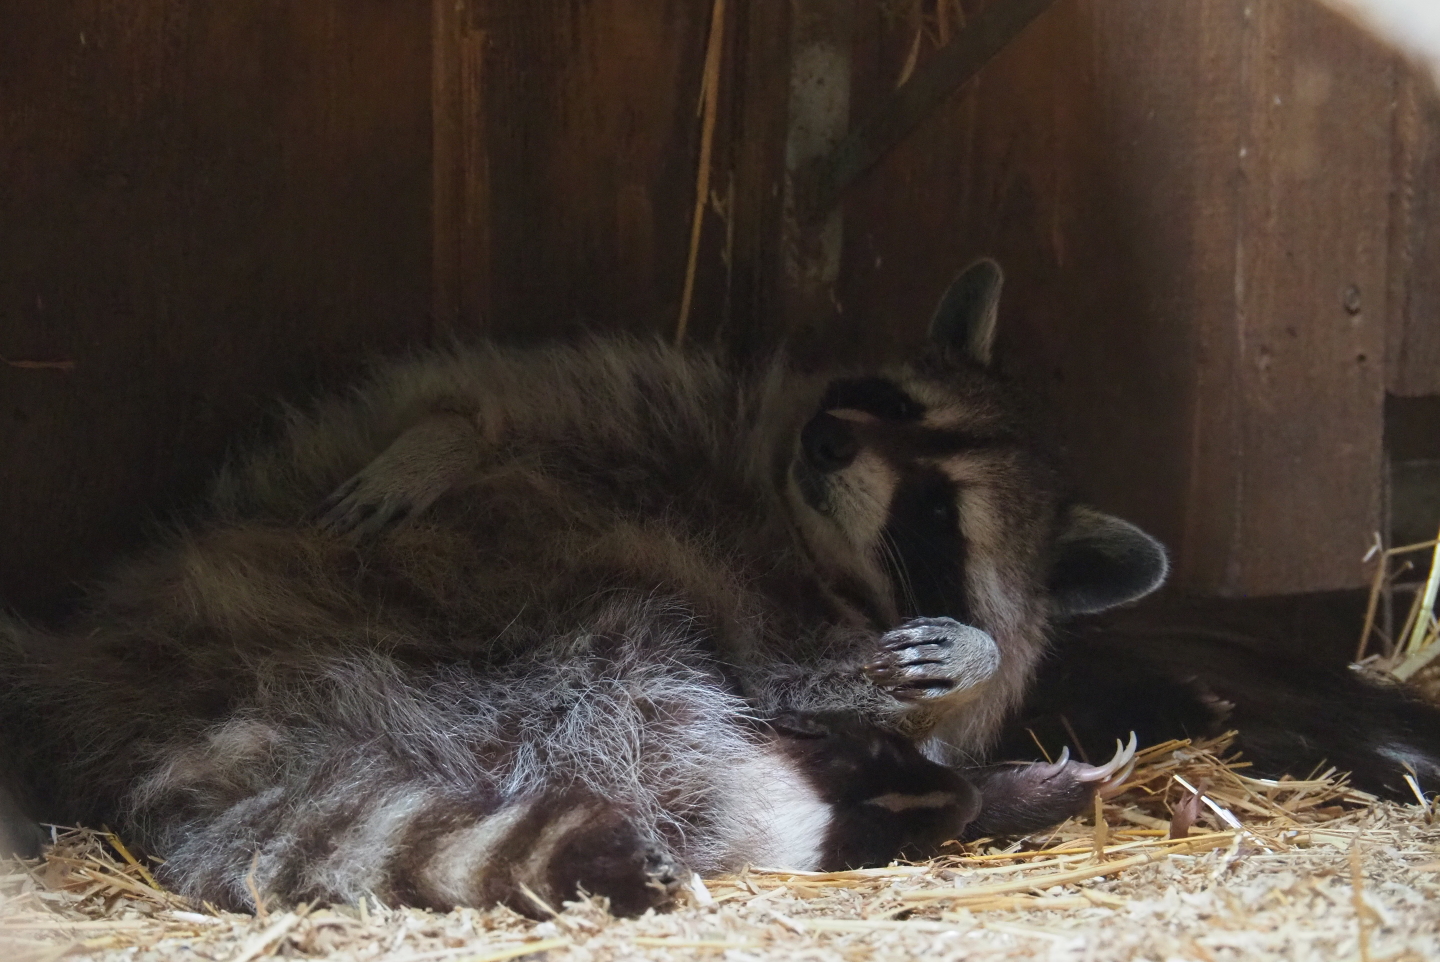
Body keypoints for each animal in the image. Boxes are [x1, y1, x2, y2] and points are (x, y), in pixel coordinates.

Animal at [0, 259, 1166, 914]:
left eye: (934, 511)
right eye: (887, 401)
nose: (830, 438)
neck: (790, 527)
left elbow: (852, 676)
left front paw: (961, 677)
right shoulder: (663, 406)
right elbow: (491, 398)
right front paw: (446, 435)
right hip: (442, 625)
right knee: (650, 721)